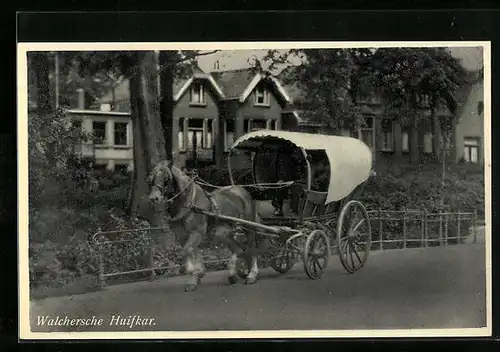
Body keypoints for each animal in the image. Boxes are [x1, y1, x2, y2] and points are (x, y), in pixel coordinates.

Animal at [147, 160, 262, 292]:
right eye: (151, 178)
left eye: (166, 177)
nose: (154, 198)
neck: (189, 204)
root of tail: (241, 190)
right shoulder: (182, 236)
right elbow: (191, 252)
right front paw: (195, 277)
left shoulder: (197, 232)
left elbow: (188, 250)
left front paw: (194, 271)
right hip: (223, 232)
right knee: (238, 249)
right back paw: (234, 274)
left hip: (249, 227)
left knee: (252, 248)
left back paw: (251, 275)